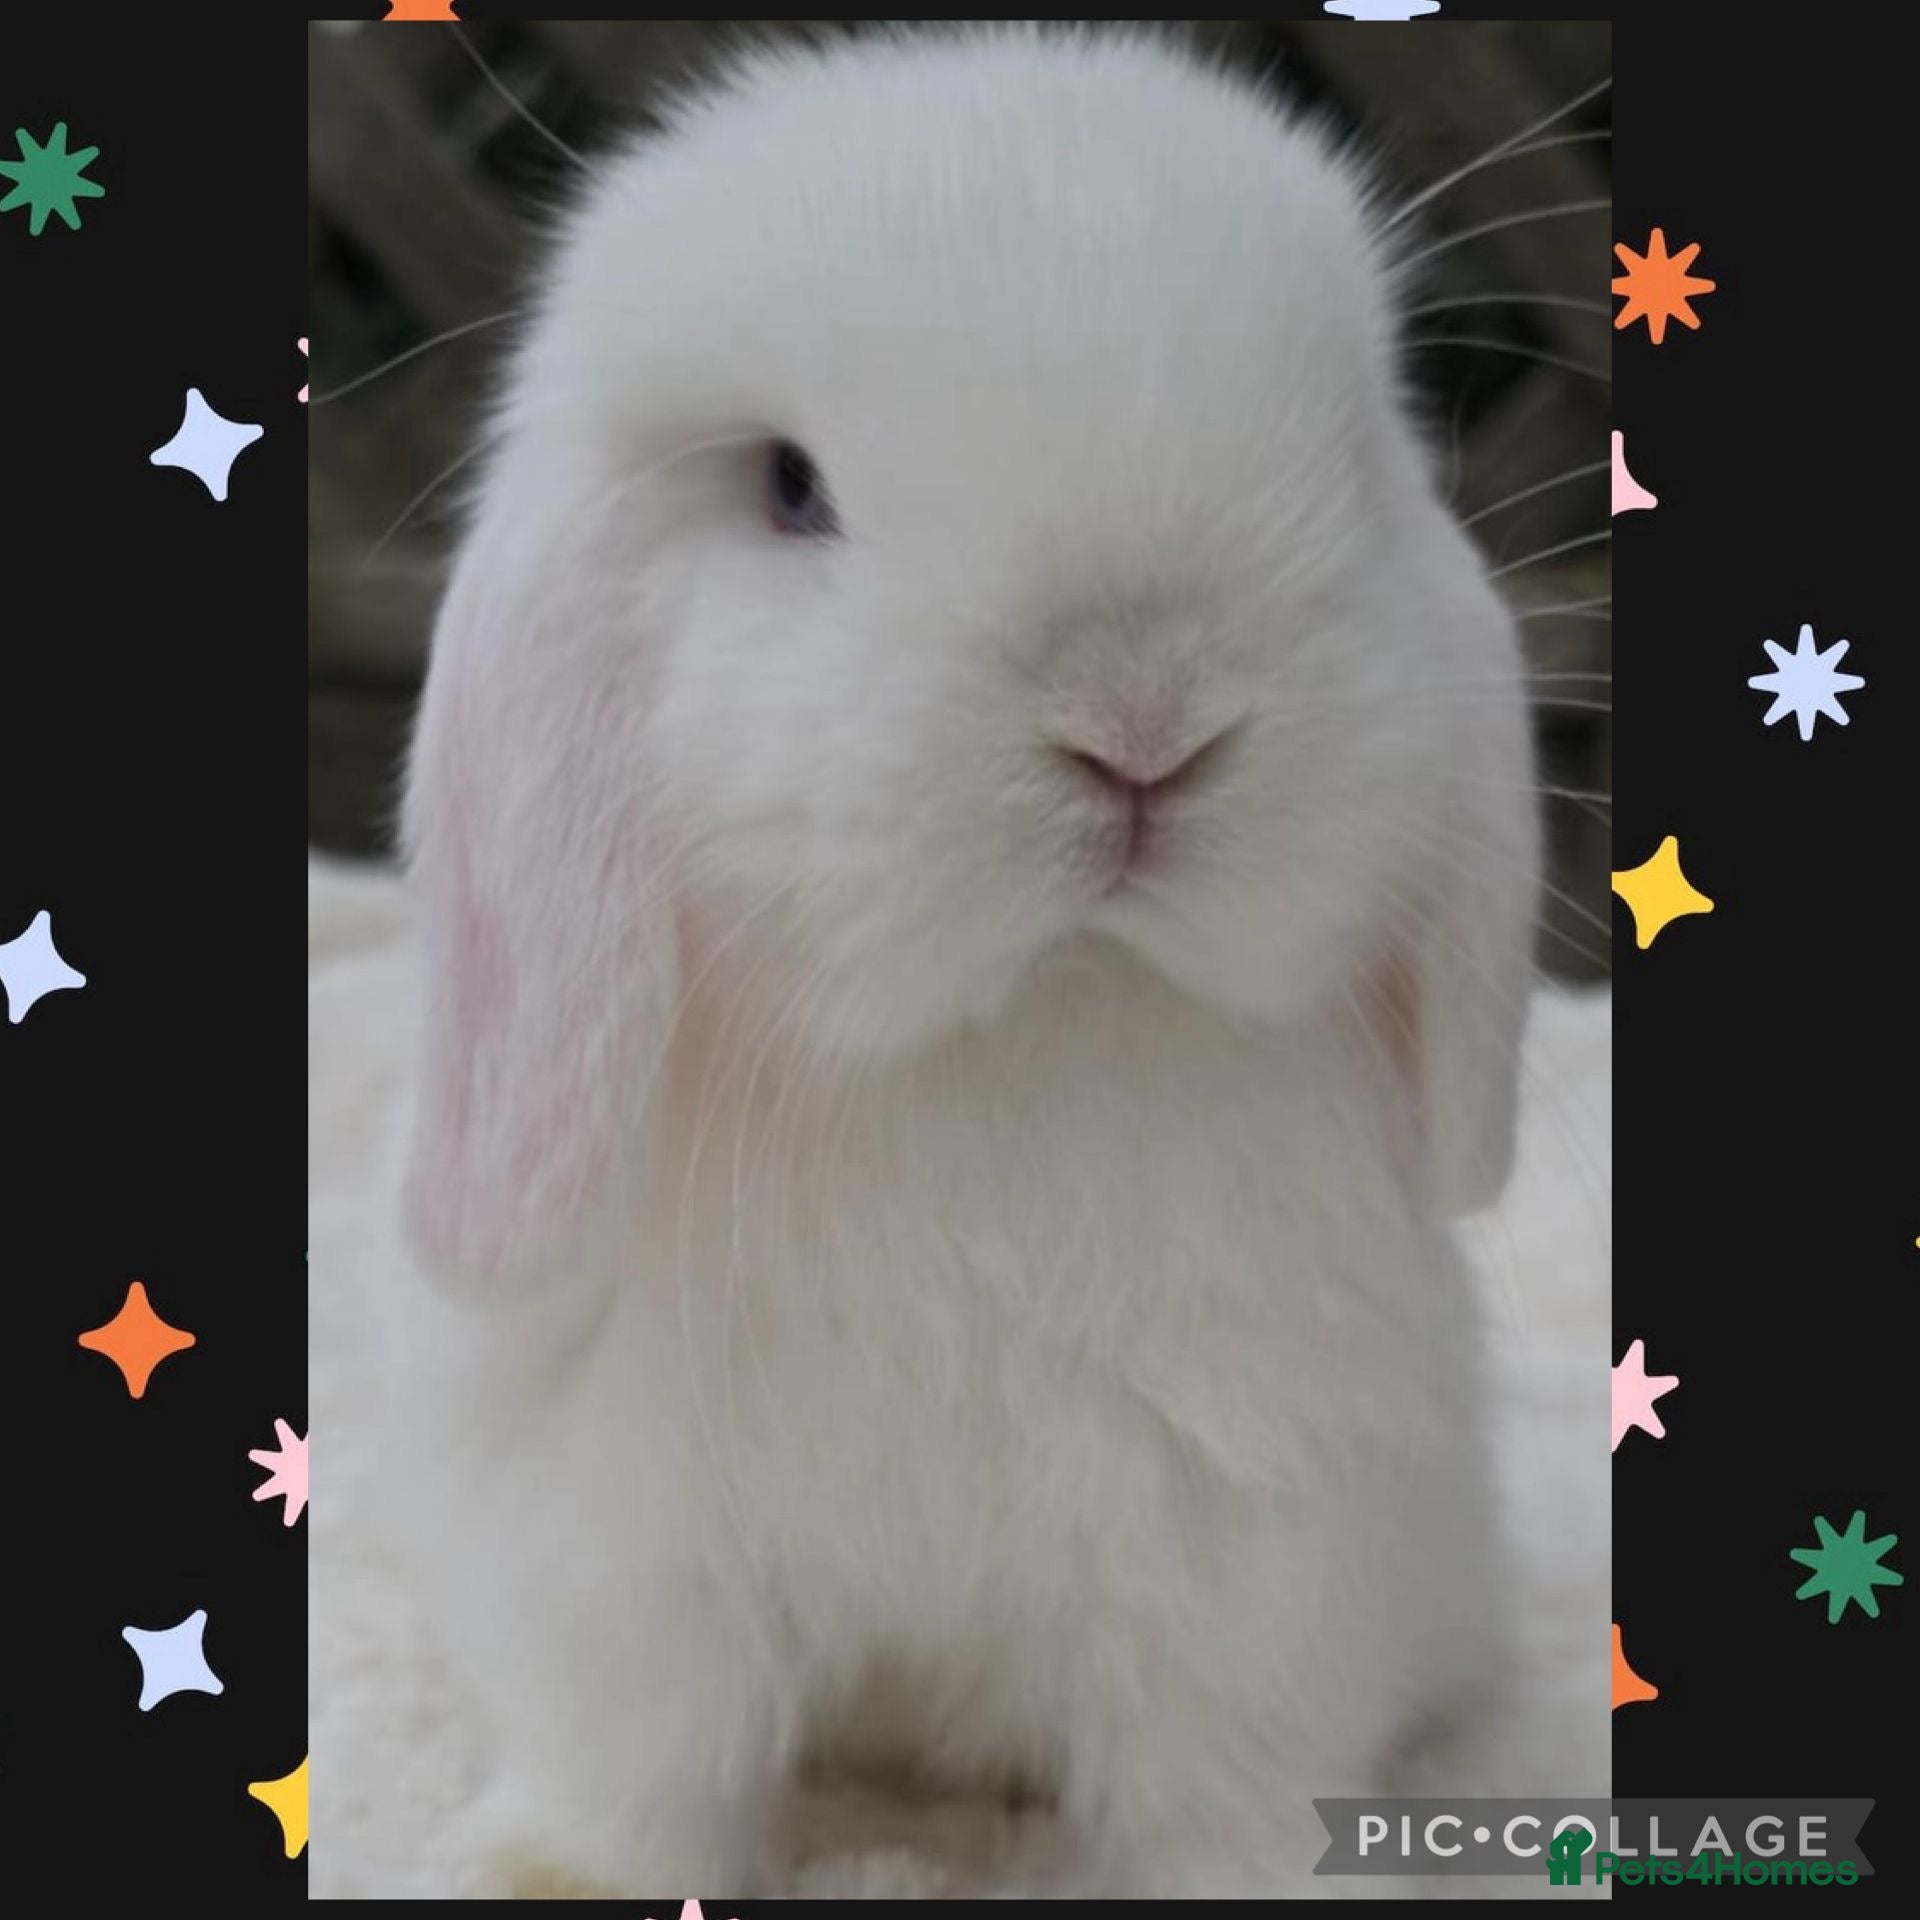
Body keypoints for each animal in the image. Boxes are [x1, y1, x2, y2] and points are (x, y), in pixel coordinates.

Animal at [378, 22, 1542, 1901]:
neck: (1012, 1038)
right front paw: (542, 1877)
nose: (1142, 722)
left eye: (1353, 472)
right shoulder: (625, 1547)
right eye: (792, 488)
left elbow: (1221, 1787)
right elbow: (636, 1761)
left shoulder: (1256, 1541)